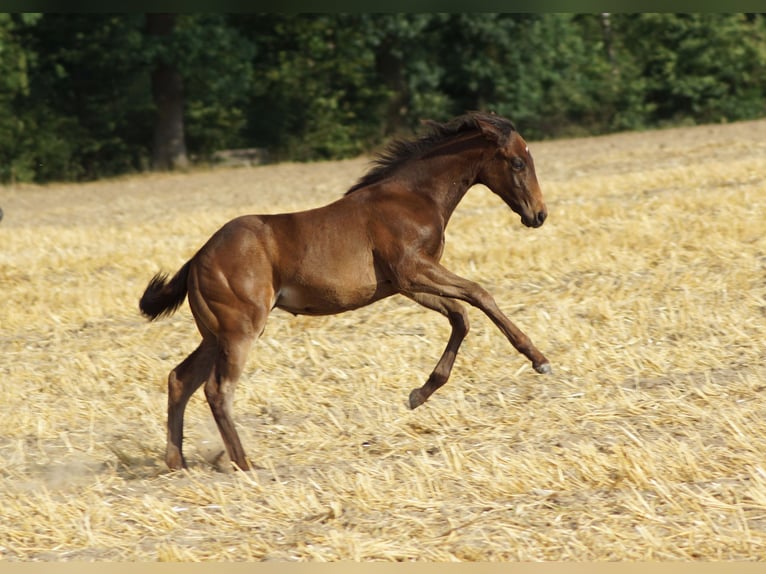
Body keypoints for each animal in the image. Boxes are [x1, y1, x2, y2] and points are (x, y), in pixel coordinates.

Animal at [139, 112, 551, 471]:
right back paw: (244, 463)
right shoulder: (414, 271)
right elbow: (480, 295)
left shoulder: (405, 285)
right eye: (517, 162)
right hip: (240, 330)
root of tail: (198, 257)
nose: (539, 215)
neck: (413, 197)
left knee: (179, 379)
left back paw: (177, 462)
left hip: (215, 334)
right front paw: (538, 358)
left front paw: (418, 395)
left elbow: (460, 317)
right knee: (218, 389)